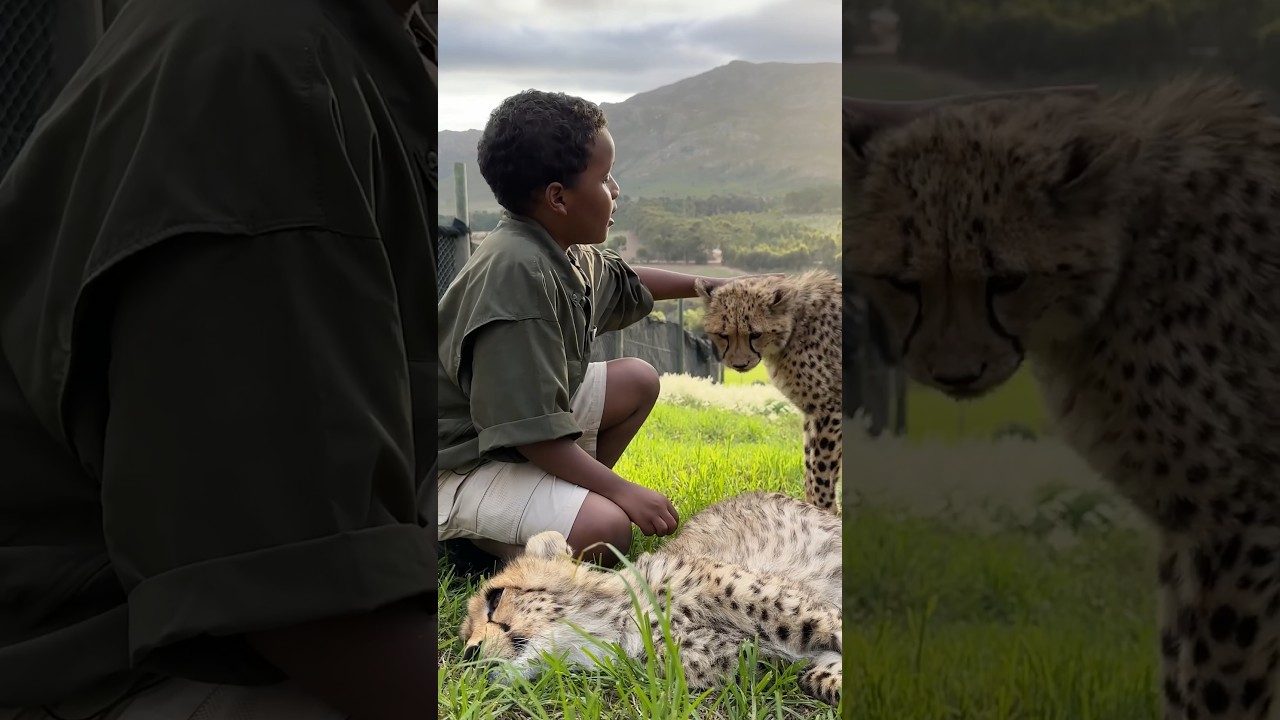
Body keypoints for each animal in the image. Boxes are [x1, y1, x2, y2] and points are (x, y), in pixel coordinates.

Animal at [694, 271, 843, 513]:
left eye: (755, 334)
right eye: (723, 334)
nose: (740, 364)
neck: (796, 325)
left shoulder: (832, 409)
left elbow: (822, 471)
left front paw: (826, 511)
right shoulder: (813, 413)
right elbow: (811, 468)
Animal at [843, 74, 1280, 720]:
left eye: (1006, 280)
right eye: (904, 281)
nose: (956, 374)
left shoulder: (1244, 519)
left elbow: (1218, 682)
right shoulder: (1191, 526)